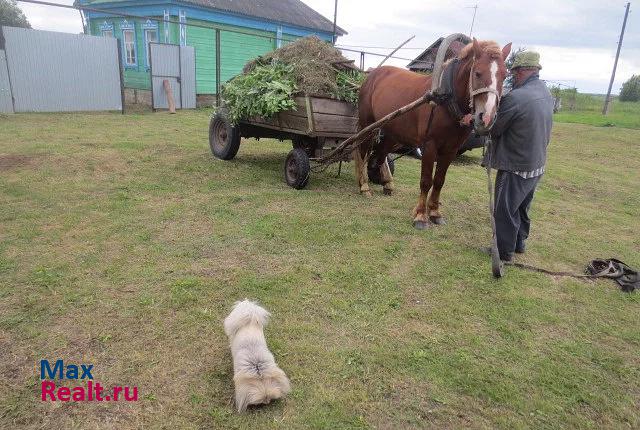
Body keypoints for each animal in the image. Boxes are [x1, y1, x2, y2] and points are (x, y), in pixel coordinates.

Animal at [356, 38, 510, 230]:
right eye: (478, 73)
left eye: (505, 75)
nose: (487, 117)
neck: (445, 99)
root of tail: (372, 74)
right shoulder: (429, 145)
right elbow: (426, 180)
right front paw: (421, 216)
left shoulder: (450, 150)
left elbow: (439, 180)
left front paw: (435, 213)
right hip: (367, 126)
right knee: (363, 151)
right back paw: (364, 185)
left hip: (392, 132)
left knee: (380, 154)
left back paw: (385, 182)